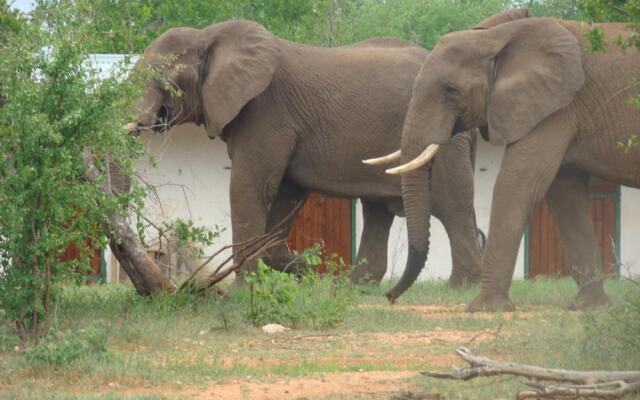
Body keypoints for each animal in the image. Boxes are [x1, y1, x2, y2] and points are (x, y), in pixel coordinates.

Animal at [125, 19, 484, 288]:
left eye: (160, 80)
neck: (208, 35)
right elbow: (286, 192)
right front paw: (309, 277)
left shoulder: (267, 113)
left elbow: (250, 187)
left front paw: (244, 290)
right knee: (377, 210)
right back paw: (352, 286)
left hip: (443, 134)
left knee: (452, 204)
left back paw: (461, 286)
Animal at [376, 7, 640, 310]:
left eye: (451, 90)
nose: (389, 296)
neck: (496, 37)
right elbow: (565, 193)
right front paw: (588, 307)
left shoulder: (556, 107)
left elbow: (518, 184)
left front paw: (484, 308)